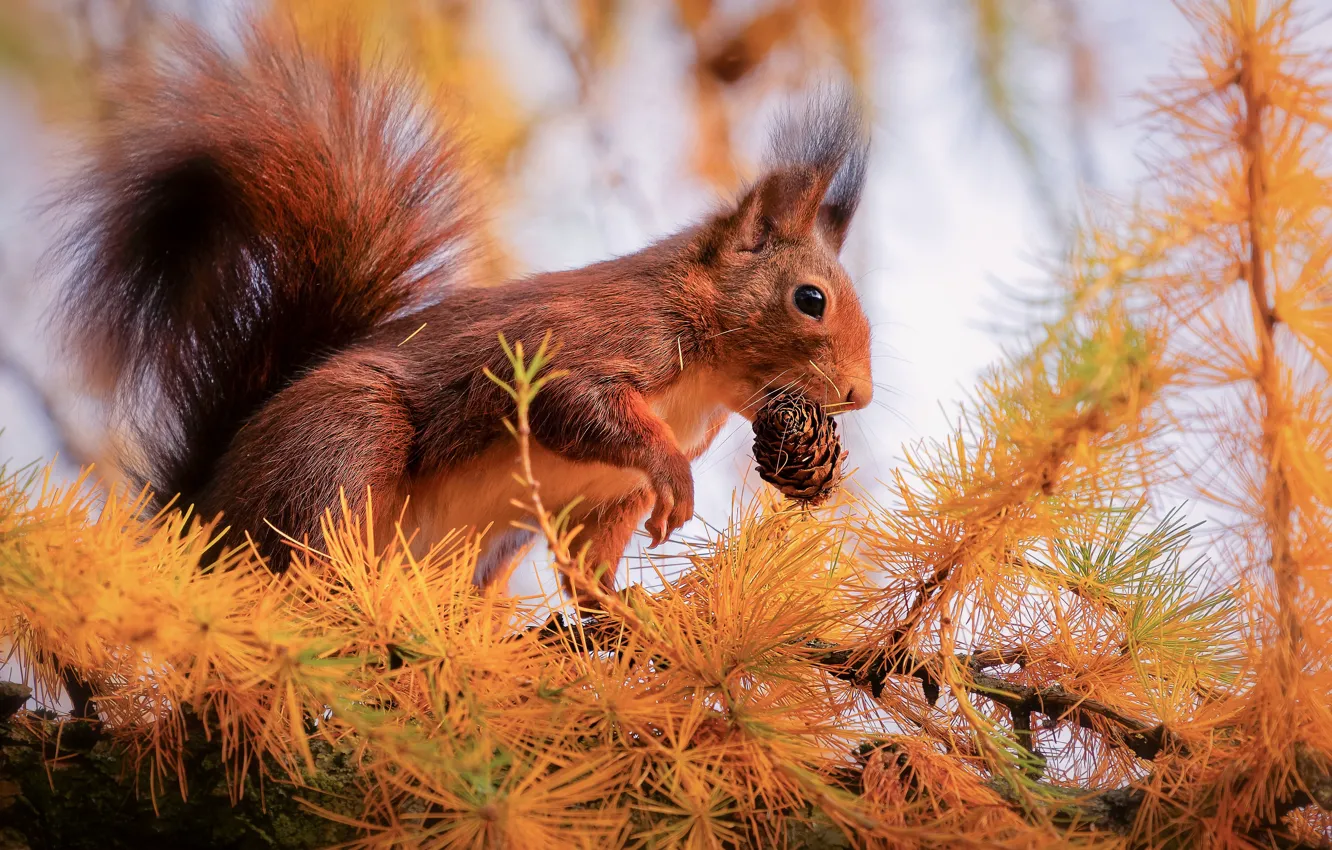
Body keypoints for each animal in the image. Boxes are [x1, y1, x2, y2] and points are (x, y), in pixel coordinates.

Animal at [57, 21, 879, 599]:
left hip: (472, 552)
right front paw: (673, 476)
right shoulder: (590, 339)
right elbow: (574, 403)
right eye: (811, 300)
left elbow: (585, 567)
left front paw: (624, 610)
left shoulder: (607, 497)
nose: (858, 396)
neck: (705, 383)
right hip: (341, 441)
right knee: (304, 539)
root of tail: (198, 515)